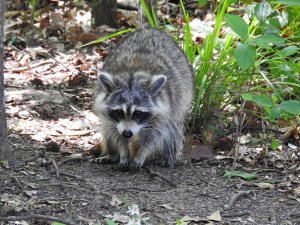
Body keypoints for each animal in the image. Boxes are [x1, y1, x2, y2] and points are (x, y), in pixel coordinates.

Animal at [94, 27, 195, 170]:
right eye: (119, 112)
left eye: (138, 113)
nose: (127, 134)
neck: (132, 74)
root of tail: (148, 28)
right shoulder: (108, 114)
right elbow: (115, 133)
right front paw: (123, 152)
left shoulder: (165, 111)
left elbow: (154, 137)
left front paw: (141, 154)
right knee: (107, 132)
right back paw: (112, 154)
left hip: (181, 99)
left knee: (173, 132)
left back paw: (169, 156)